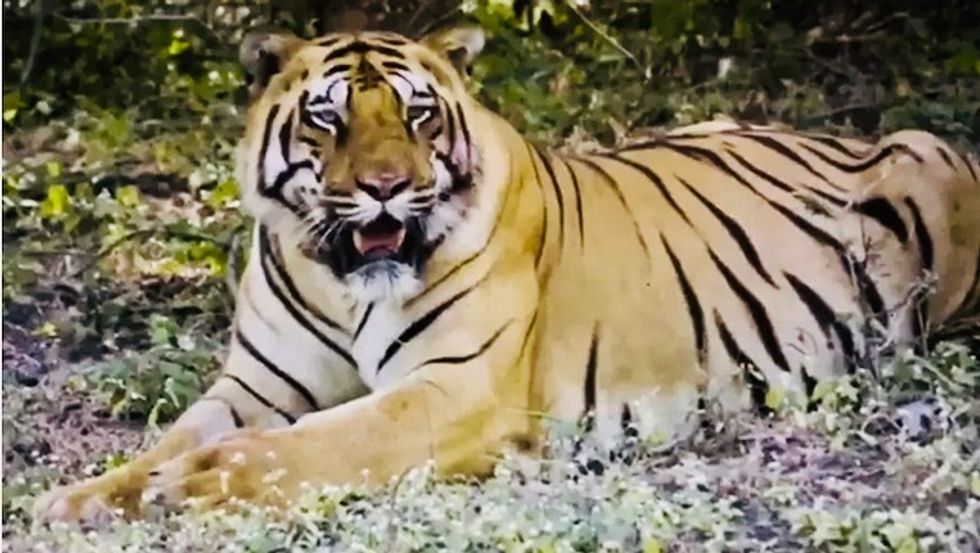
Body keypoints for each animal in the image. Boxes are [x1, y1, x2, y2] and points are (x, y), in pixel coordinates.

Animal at [34, 26, 980, 523]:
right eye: (328, 120)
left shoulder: (457, 388)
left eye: (417, 114)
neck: (340, 283)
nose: (386, 186)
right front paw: (78, 498)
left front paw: (196, 484)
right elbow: (170, 438)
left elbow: (310, 443)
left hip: (926, 165)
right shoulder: (255, 387)